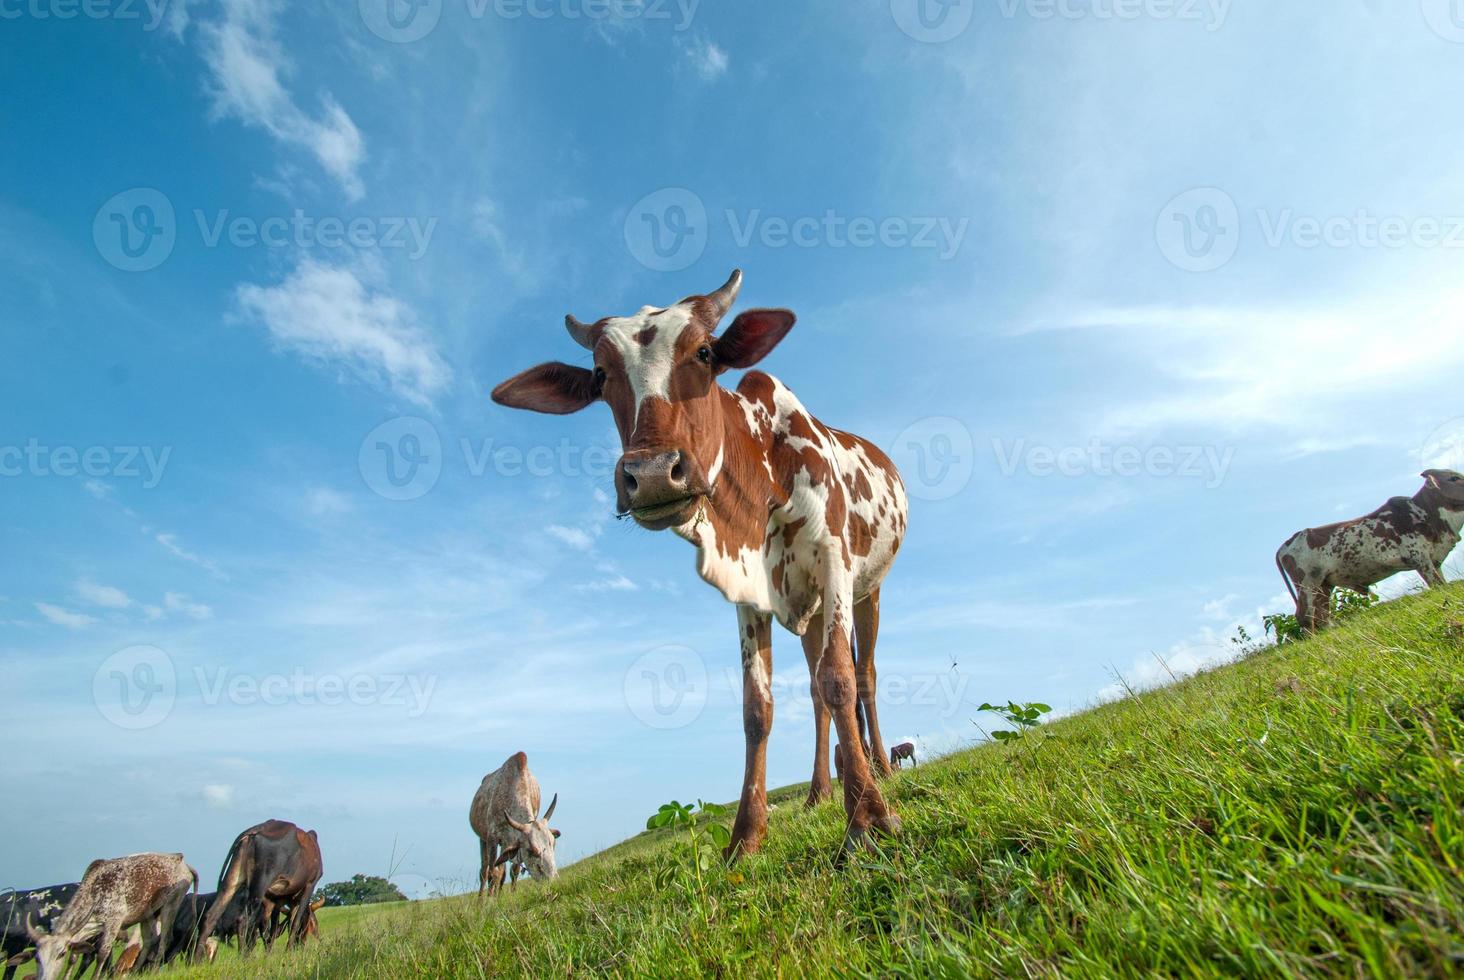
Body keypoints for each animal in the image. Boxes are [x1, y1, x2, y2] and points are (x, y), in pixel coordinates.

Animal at [26, 849, 196, 978]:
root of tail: (180, 860)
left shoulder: (113, 922)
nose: (45, 978)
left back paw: (154, 971)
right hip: (149, 914)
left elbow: (102, 953)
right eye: (37, 958)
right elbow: (74, 957)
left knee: (165, 940)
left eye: (60, 954)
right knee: (150, 941)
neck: (94, 890)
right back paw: (134, 972)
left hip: (170, 906)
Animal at [196, 820, 322, 955]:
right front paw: (288, 952)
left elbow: (272, 930)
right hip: (260, 885)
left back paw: (196, 958)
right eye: (311, 924)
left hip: (232, 880)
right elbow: (294, 923)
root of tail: (257, 829)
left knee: (210, 916)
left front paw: (269, 955)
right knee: (243, 921)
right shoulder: (309, 885)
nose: (303, 944)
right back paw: (243, 956)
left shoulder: (276, 899)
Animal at [468, 750, 559, 896]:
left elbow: (512, 872)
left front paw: (510, 895)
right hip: (483, 839)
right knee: (484, 871)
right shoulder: (492, 838)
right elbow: (492, 873)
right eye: (531, 850)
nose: (553, 881)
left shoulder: (512, 841)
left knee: (502, 872)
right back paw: (482, 899)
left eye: (553, 843)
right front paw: (490, 900)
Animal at [488, 269, 901, 855]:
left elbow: (841, 679)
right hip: (813, 610)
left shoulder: (834, 562)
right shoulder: (751, 591)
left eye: (704, 352)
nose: (653, 473)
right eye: (599, 375)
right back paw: (821, 790)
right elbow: (758, 709)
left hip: (868, 590)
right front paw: (746, 837)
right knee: (818, 691)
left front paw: (868, 818)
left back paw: (879, 770)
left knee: (862, 674)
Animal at [1276, 468, 1458, 635]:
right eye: (1453, 478)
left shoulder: (1434, 561)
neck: (1422, 511)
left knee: (1321, 615)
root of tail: (1286, 544)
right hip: (1307, 584)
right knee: (1305, 616)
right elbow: (1437, 584)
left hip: (1323, 585)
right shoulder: (1421, 560)